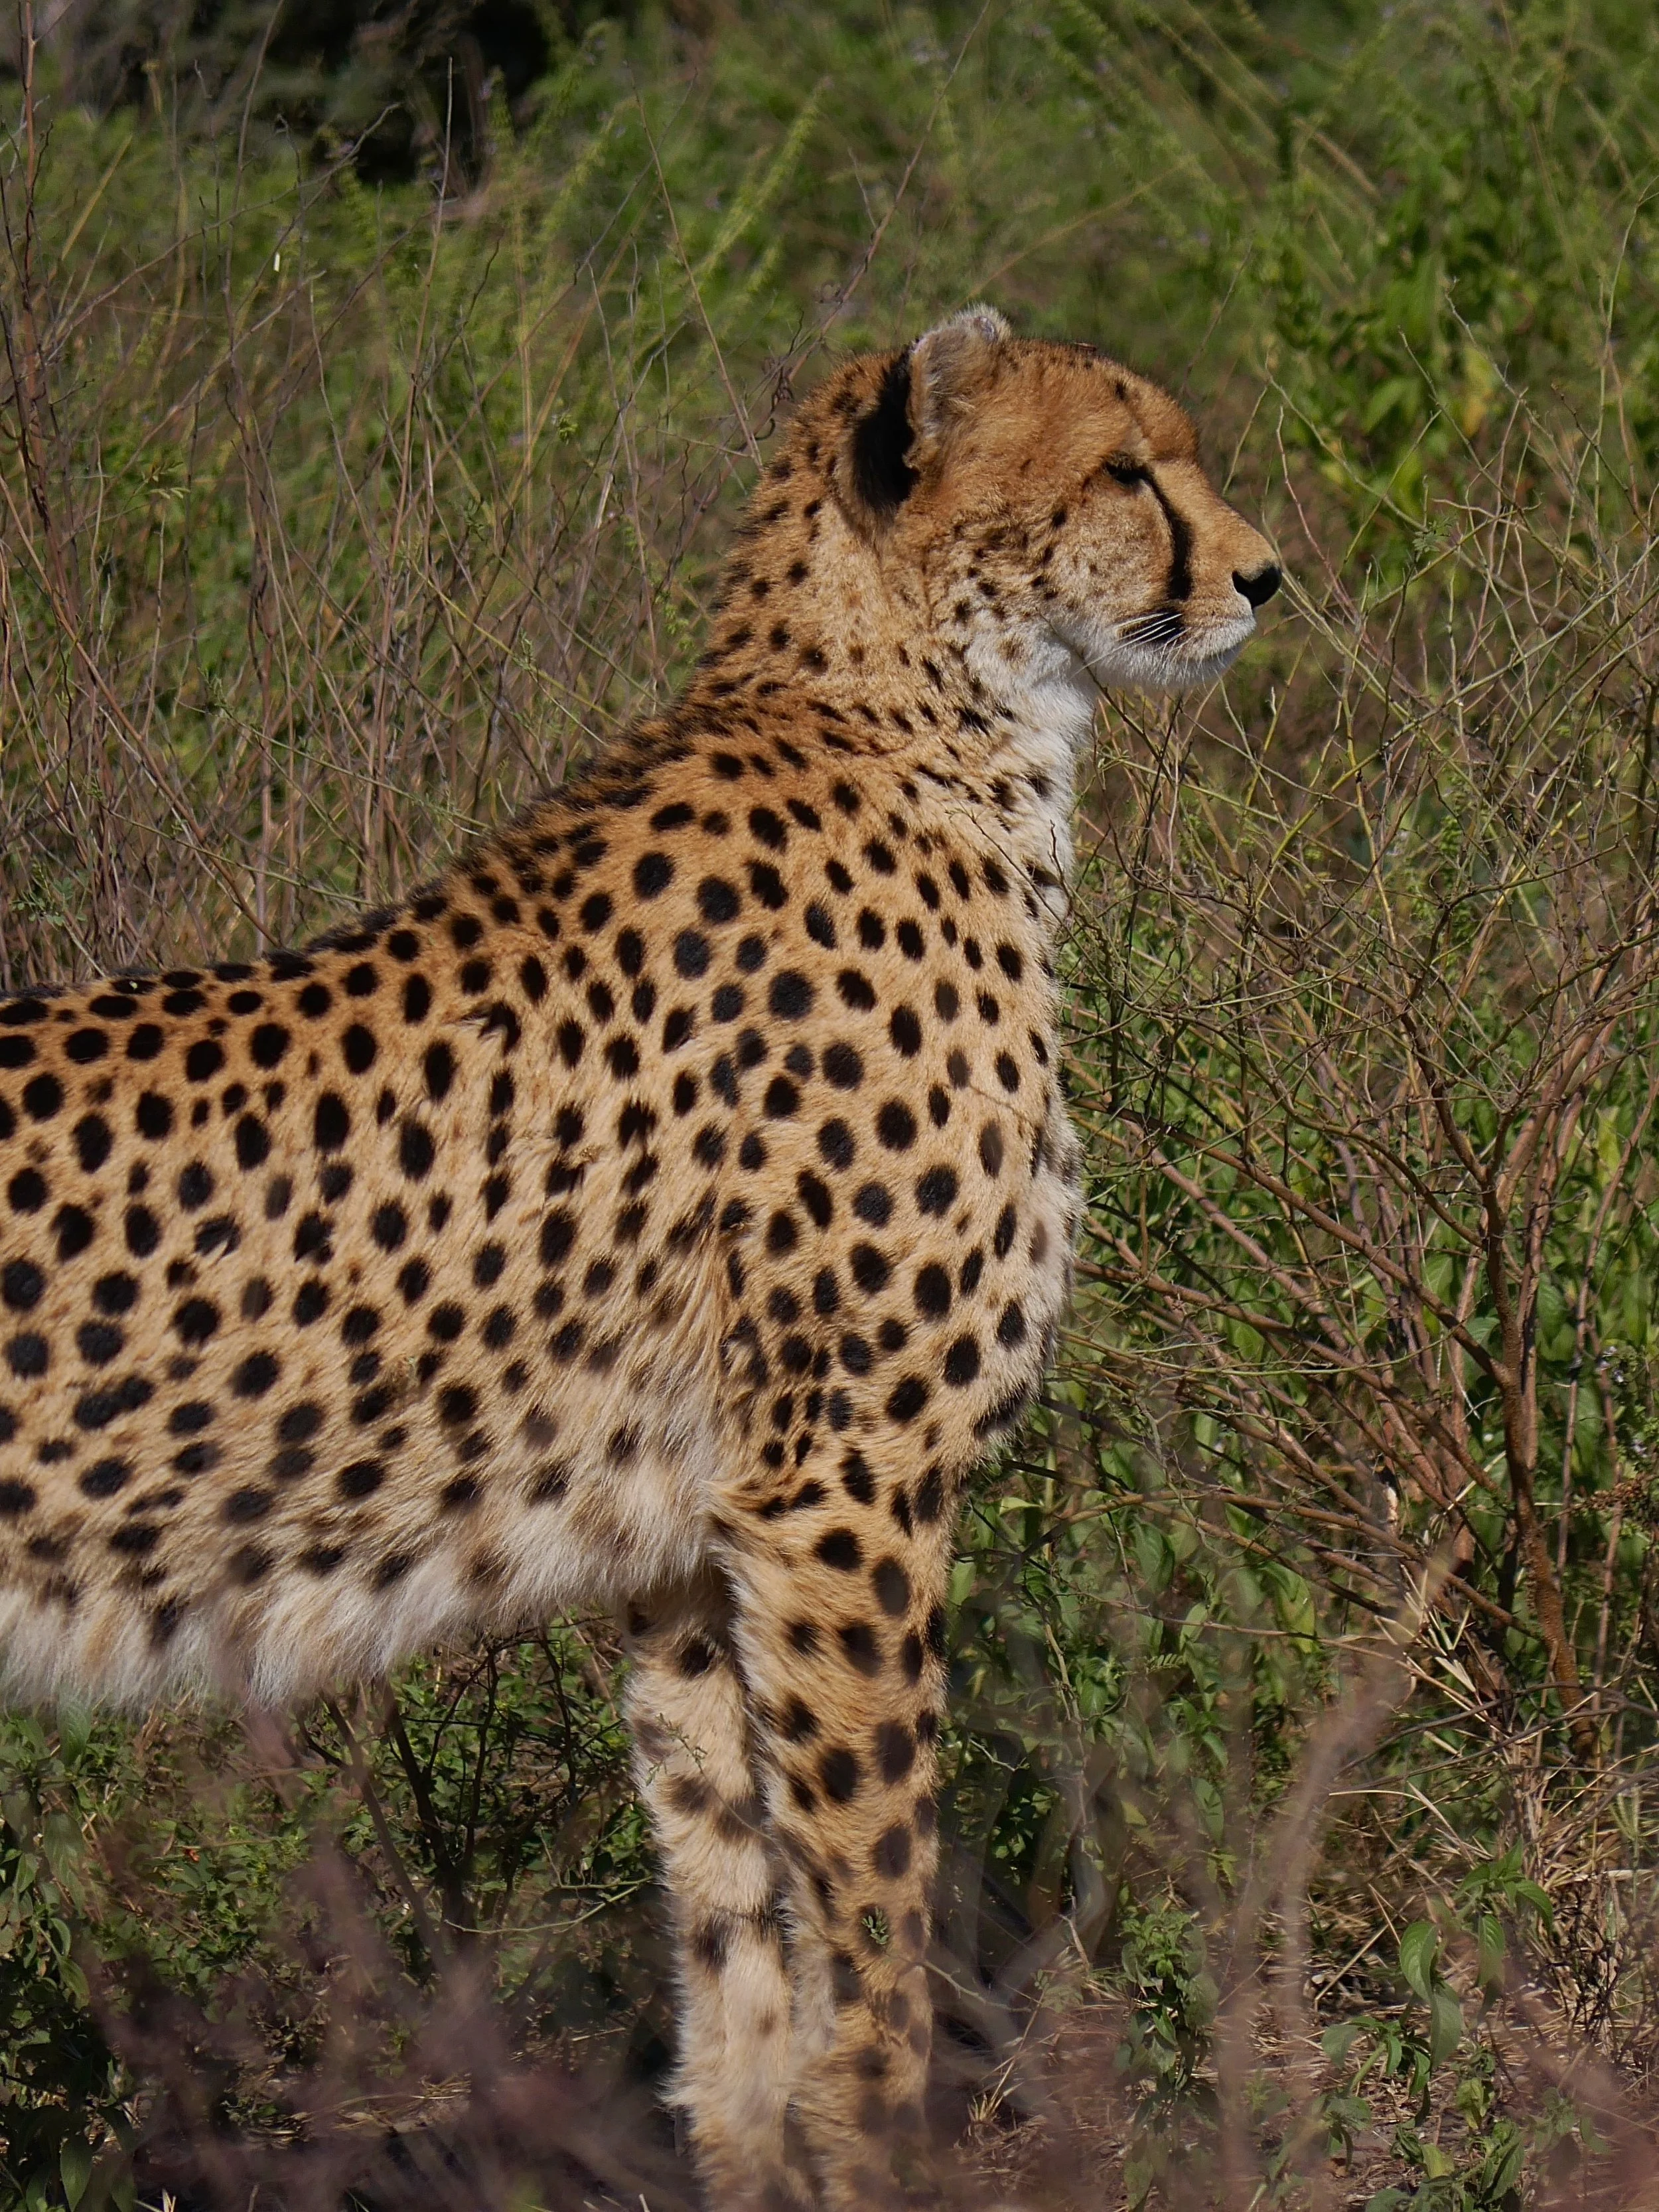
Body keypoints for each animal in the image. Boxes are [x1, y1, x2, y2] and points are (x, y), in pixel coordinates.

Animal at [0, 307, 1277, 2210]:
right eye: (1128, 468)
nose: (1265, 578)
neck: (924, 721)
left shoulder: (687, 1545)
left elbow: (739, 1950)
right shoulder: (847, 1485)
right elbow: (873, 1935)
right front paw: (888, 2144)